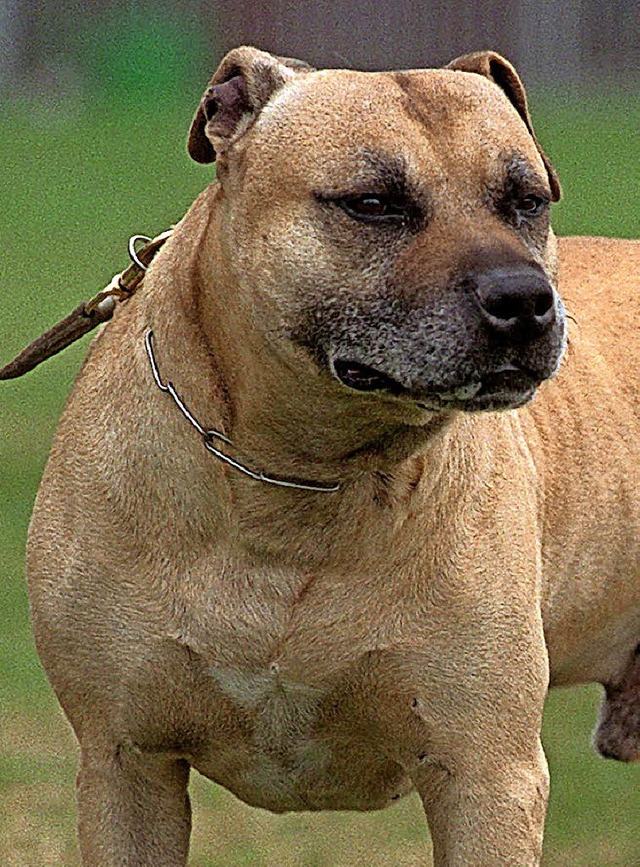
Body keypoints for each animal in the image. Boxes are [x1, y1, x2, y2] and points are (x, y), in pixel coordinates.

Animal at [26, 49, 640, 867]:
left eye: (527, 201)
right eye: (373, 204)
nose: (525, 299)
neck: (301, 479)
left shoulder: (487, 776)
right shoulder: (125, 764)